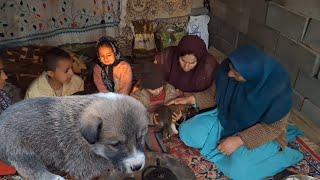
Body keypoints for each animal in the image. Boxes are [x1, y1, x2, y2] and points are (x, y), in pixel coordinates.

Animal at [0, 93, 148, 179]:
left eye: (140, 138)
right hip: (22, 152)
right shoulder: (85, 165)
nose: (137, 166)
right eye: (115, 144)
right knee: (31, 170)